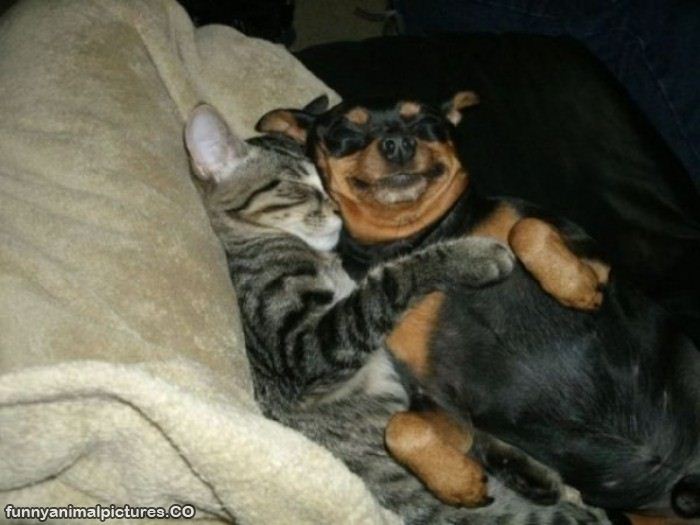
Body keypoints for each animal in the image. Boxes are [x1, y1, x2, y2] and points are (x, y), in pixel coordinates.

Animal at [184, 104, 611, 524]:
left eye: (326, 181)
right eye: (299, 187)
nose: (339, 209)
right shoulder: (302, 348)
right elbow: (393, 279)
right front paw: (474, 255)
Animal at [256, 93, 700, 519]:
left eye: (428, 123)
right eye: (345, 131)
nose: (399, 144)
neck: (417, 238)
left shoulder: (596, 260)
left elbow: (525, 228)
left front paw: (572, 287)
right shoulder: (438, 399)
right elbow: (400, 428)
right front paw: (458, 482)